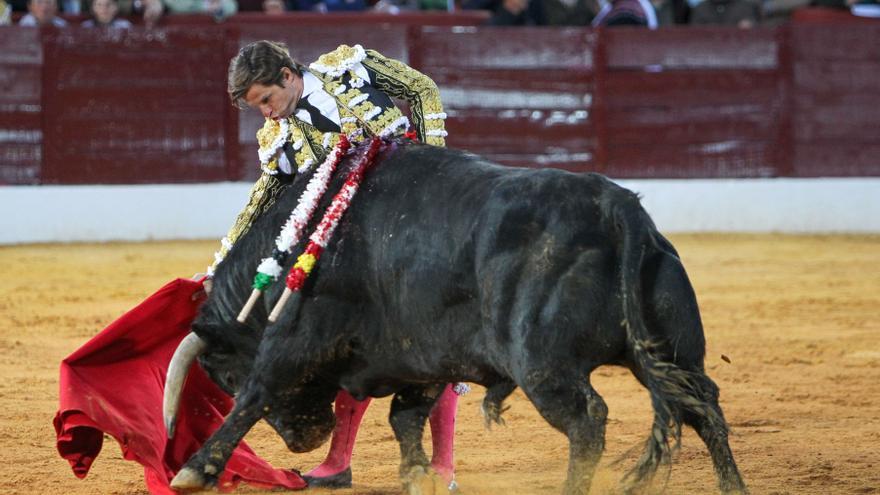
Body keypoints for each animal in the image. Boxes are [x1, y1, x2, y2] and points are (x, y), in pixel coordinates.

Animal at [167, 141, 748, 494]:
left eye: (223, 375)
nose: (303, 439)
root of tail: (617, 206)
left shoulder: (296, 338)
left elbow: (257, 394)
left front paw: (195, 468)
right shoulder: (417, 356)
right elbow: (406, 417)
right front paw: (417, 476)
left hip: (542, 365)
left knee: (588, 419)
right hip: (674, 351)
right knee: (703, 408)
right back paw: (734, 487)